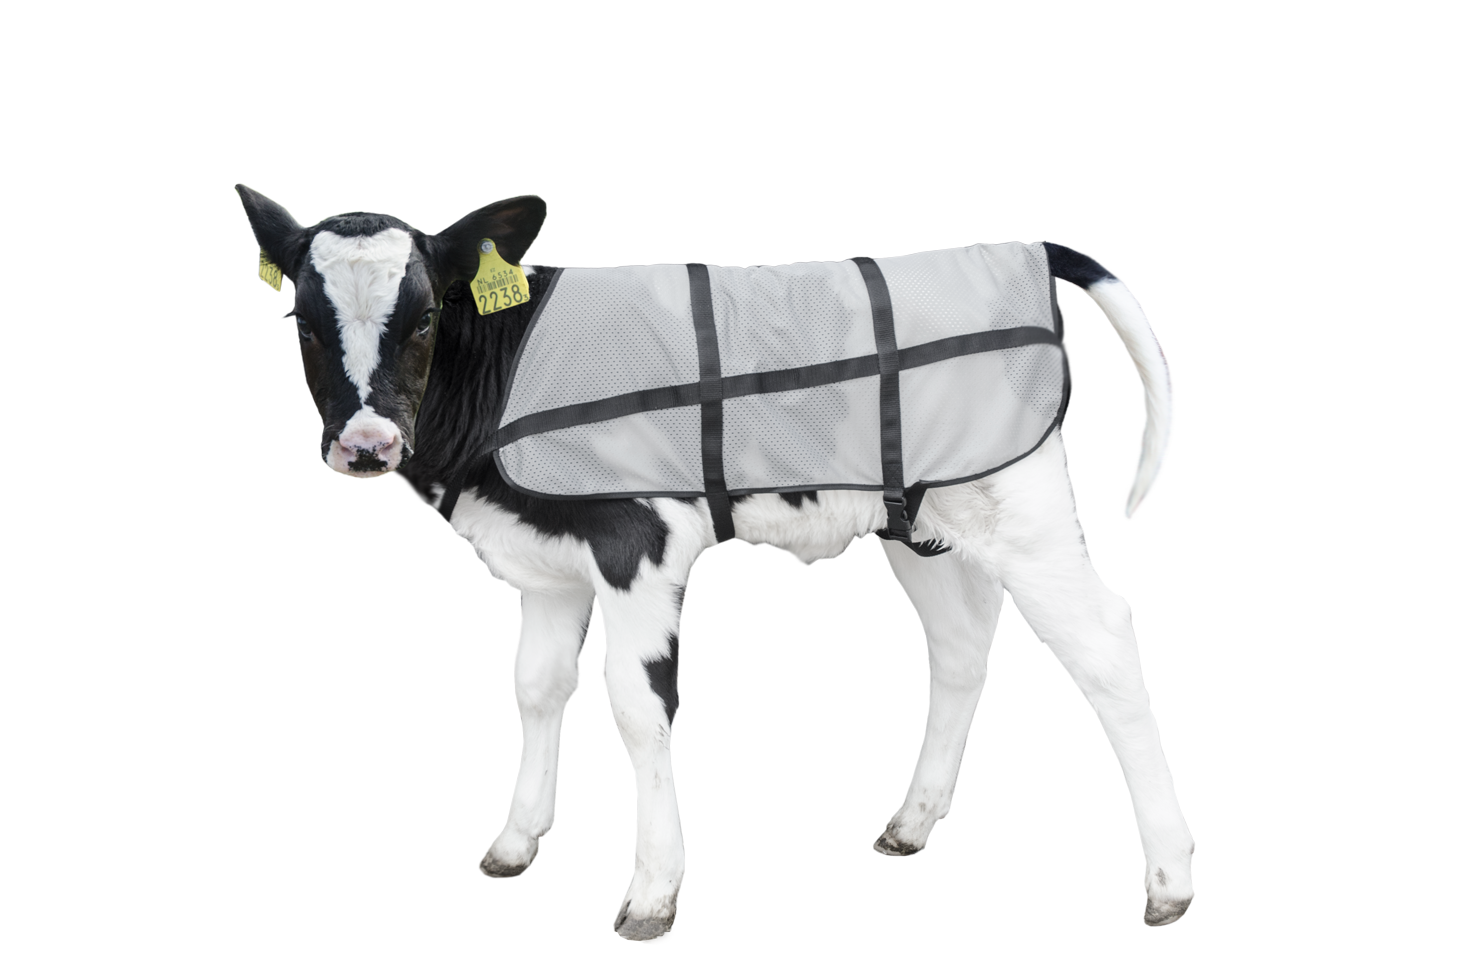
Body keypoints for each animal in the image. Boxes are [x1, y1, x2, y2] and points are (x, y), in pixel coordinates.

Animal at [235, 184, 1194, 943]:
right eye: (302, 323)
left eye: (427, 314)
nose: (366, 444)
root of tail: (1026, 248)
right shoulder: (546, 559)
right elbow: (536, 687)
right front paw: (514, 842)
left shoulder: (635, 542)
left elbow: (635, 705)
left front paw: (653, 890)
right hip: (917, 514)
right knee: (961, 645)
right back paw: (913, 823)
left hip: (1022, 509)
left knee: (1104, 644)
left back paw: (1169, 882)